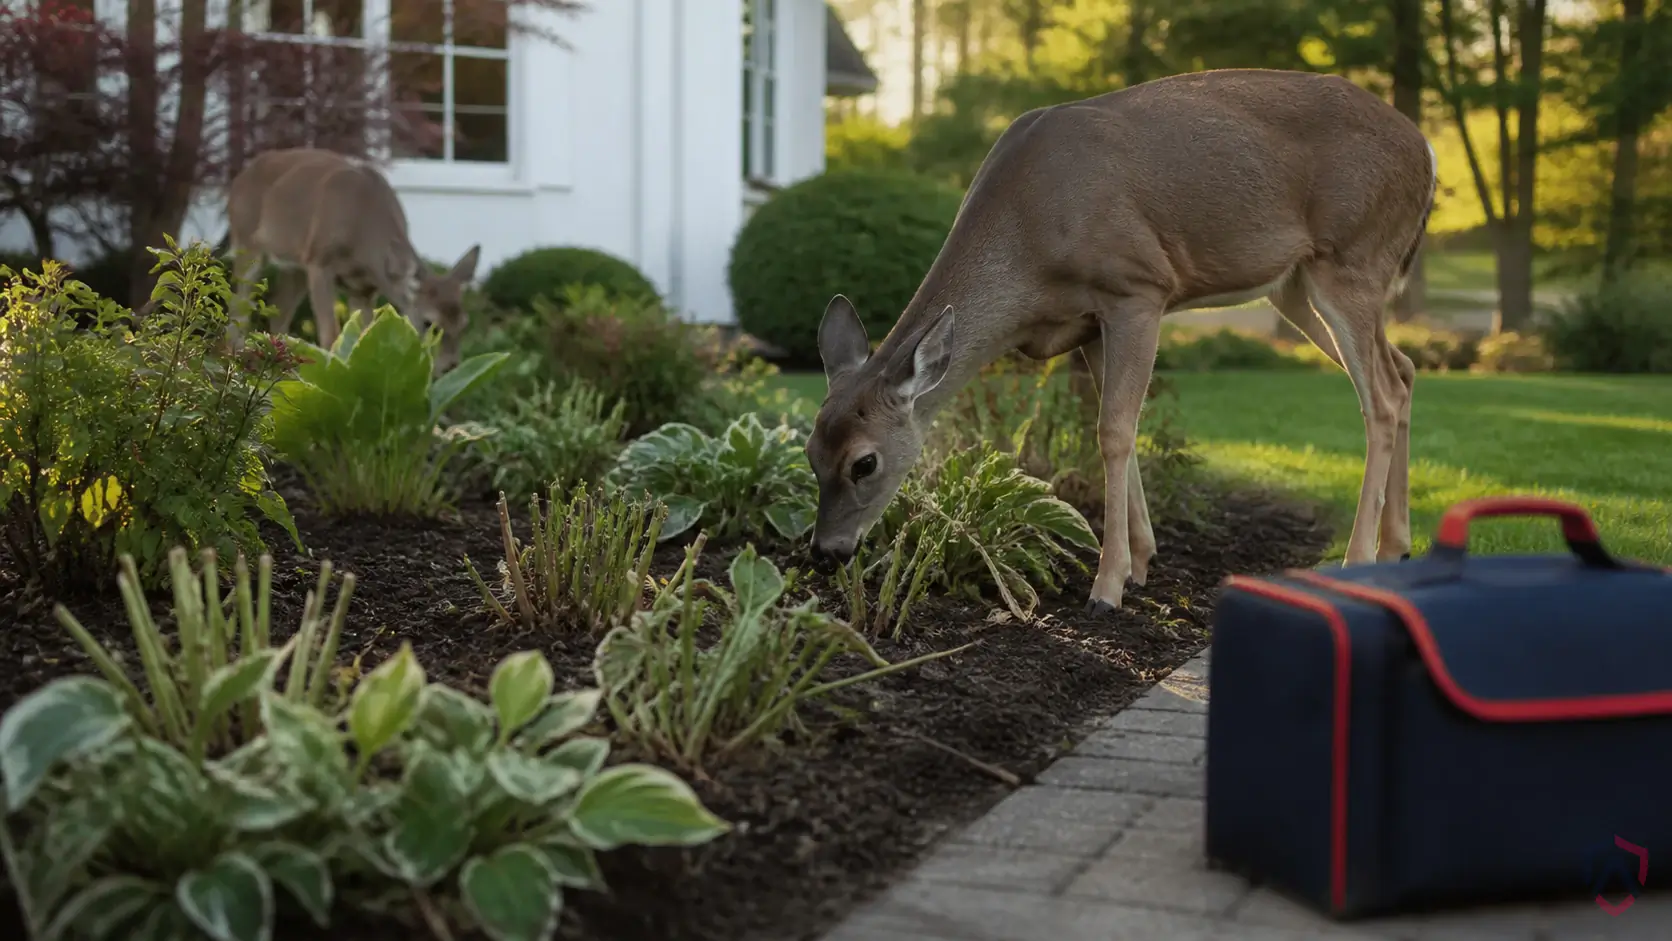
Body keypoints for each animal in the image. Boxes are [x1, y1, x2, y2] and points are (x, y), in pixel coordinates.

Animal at [222, 147, 481, 373]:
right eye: (429, 323)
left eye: (464, 324)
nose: (450, 367)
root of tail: (240, 177)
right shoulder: (319, 262)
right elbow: (331, 335)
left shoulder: (364, 289)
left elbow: (363, 336)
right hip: (246, 241)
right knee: (238, 308)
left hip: (294, 267)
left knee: (279, 312)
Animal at [805, 68, 1437, 616]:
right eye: (810, 454)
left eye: (865, 462)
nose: (824, 553)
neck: (1029, 243)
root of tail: (1426, 151)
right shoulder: (1088, 322)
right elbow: (1118, 429)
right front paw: (1142, 561)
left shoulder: (1137, 287)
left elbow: (1112, 431)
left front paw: (1107, 587)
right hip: (1297, 285)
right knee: (1404, 369)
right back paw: (1397, 545)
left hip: (1352, 257)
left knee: (1380, 397)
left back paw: (1358, 559)